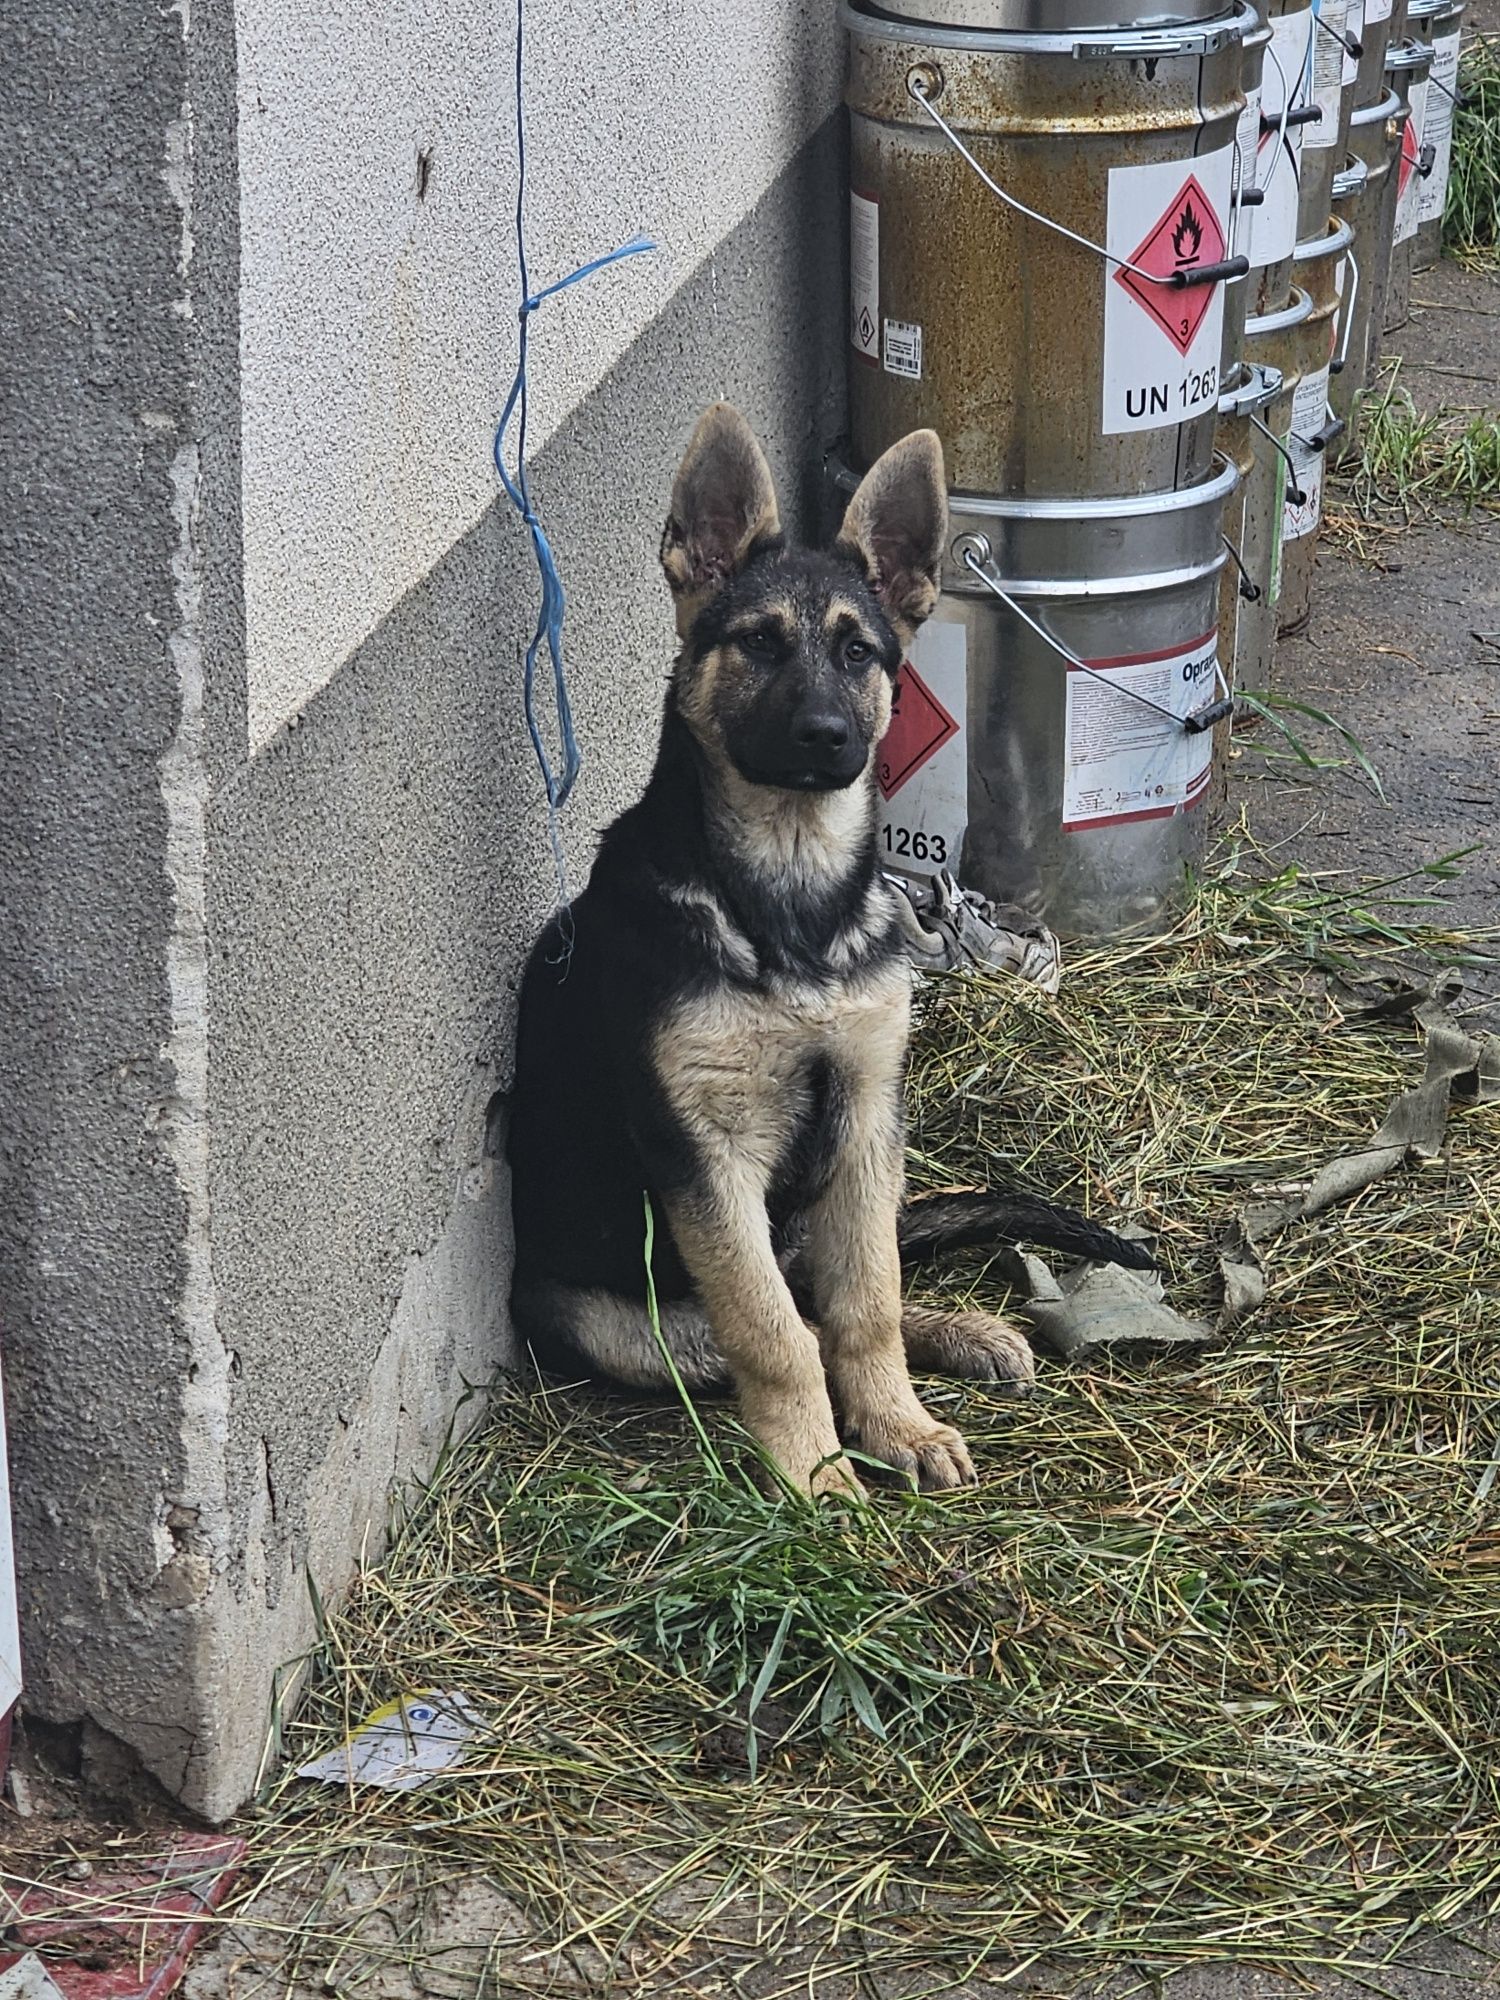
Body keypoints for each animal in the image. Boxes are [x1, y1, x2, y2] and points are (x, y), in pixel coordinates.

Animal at [512, 410, 1160, 1504]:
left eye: (861, 651)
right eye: (759, 642)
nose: (825, 736)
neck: (791, 900)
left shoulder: (865, 1114)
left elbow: (869, 1297)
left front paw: (896, 1422)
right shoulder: (706, 1156)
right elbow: (774, 1333)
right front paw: (815, 1477)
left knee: (846, 1285)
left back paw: (960, 1337)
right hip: (609, 1315)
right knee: (768, 1319)